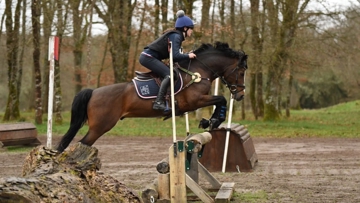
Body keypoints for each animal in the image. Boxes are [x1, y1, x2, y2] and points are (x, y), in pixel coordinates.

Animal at [55, 41, 248, 152]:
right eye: (241, 72)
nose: (240, 95)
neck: (197, 71)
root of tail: (94, 92)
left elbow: (220, 101)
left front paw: (209, 121)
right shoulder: (194, 101)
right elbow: (221, 99)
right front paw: (213, 121)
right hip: (100, 126)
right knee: (82, 143)